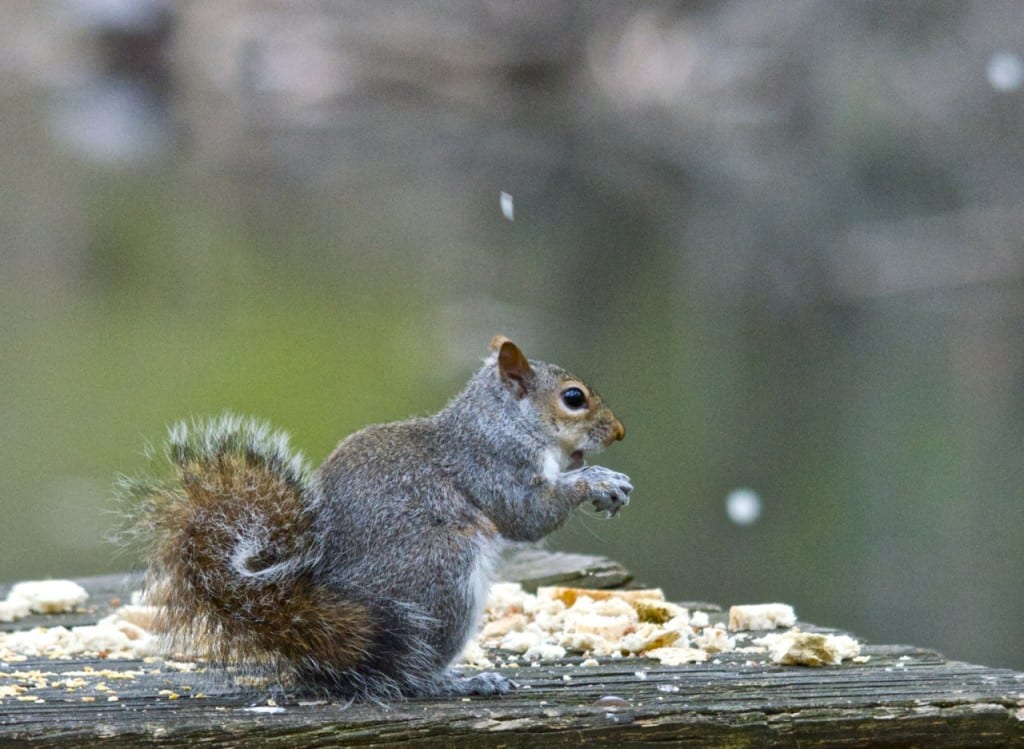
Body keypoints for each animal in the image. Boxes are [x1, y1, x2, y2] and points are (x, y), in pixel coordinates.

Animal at [117, 336, 630, 700]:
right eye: (573, 398)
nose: (619, 432)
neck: (502, 423)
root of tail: (319, 625)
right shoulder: (491, 465)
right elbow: (527, 515)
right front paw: (598, 481)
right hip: (442, 575)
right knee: (409, 676)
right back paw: (456, 682)